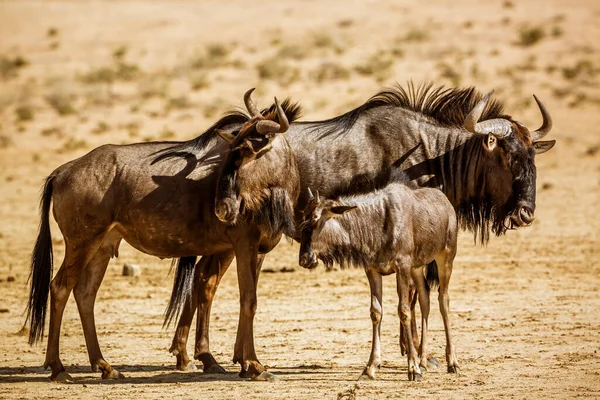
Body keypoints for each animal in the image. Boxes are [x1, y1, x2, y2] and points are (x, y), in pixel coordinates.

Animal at [300, 175, 460, 382]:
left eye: (316, 220)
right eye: (303, 218)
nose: (304, 259)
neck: (377, 223)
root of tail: (447, 203)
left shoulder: (402, 266)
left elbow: (404, 311)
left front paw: (412, 369)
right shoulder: (373, 271)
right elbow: (376, 312)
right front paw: (370, 368)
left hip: (445, 258)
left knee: (443, 300)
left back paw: (452, 362)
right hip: (417, 267)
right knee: (425, 298)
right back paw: (423, 360)